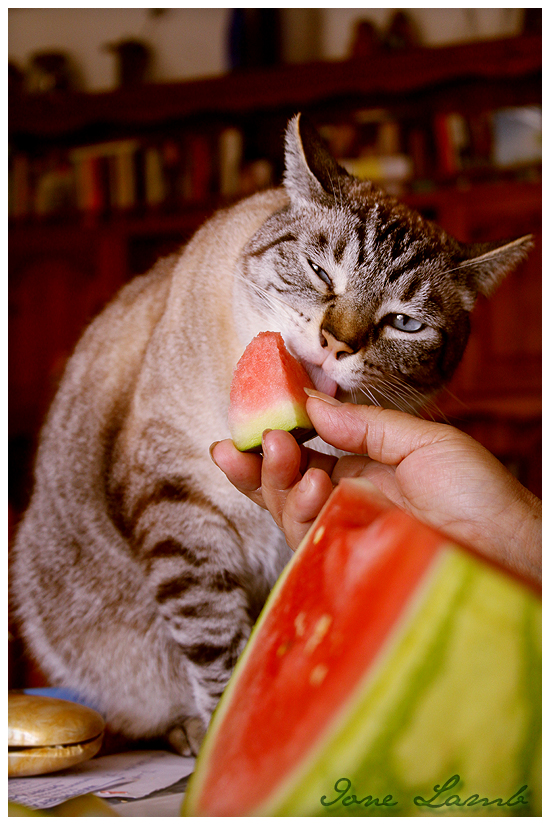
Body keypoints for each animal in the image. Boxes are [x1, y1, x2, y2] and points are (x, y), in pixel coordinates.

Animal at [10, 114, 532, 752]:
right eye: (319, 272)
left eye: (404, 323)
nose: (337, 343)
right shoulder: (174, 497)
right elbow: (213, 638)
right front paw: (222, 731)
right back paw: (186, 734)